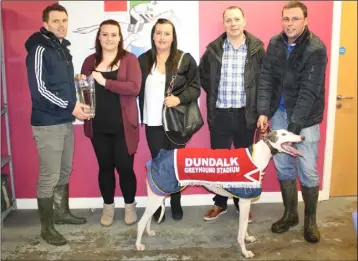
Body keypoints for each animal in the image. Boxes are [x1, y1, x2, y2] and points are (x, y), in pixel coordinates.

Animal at [136, 129, 304, 256]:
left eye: (288, 131)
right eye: (283, 134)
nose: (302, 137)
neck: (256, 156)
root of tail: (154, 160)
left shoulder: (244, 200)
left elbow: (244, 226)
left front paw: (248, 237)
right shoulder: (244, 201)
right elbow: (240, 233)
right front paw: (245, 252)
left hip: (158, 196)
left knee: (148, 219)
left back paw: (149, 232)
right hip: (157, 197)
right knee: (141, 222)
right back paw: (138, 245)